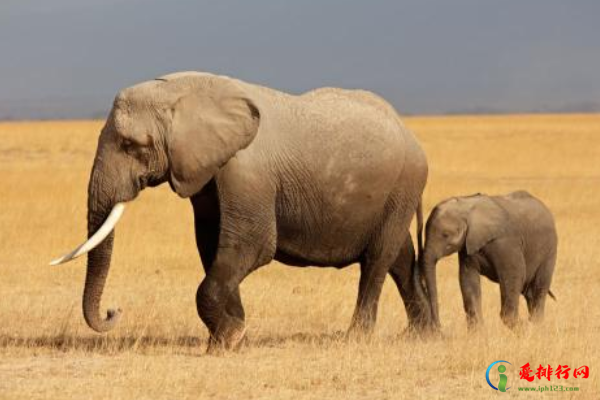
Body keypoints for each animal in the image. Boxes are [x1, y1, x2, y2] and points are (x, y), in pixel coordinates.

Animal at [52, 71, 432, 350]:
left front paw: (225, 341)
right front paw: (232, 334)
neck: (182, 91)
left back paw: (356, 337)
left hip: (403, 184)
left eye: (132, 145)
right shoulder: (205, 171)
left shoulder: (246, 171)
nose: (114, 311)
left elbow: (252, 245)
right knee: (400, 255)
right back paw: (422, 333)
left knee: (377, 259)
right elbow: (212, 246)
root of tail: (411, 135)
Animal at [422, 191, 556, 328]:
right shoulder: (468, 246)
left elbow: (515, 274)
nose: (438, 326)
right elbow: (468, 279)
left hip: (550, 250)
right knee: (529, 292)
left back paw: (536, 325)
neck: (467, 206)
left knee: (538, 288)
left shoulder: (505, 242)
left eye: (445, 235)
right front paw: (477, 330)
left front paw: (517, 325)